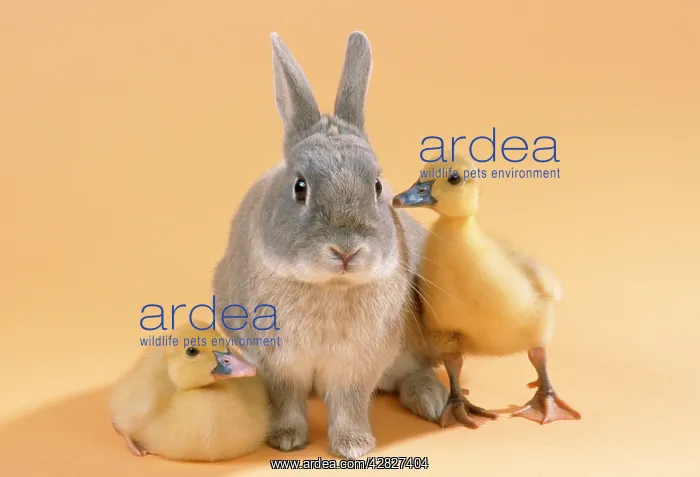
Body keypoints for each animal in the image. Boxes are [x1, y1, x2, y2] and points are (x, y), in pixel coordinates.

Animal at [212, 31, 448, 460]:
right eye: (300, 187)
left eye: (377, 186)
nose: (346, 251)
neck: (330, 286)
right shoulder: (278, 362)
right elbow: (287, 398)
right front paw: (286, 439)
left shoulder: (357, 364)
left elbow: (350, 402)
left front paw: (354, 447)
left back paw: (432, 401)